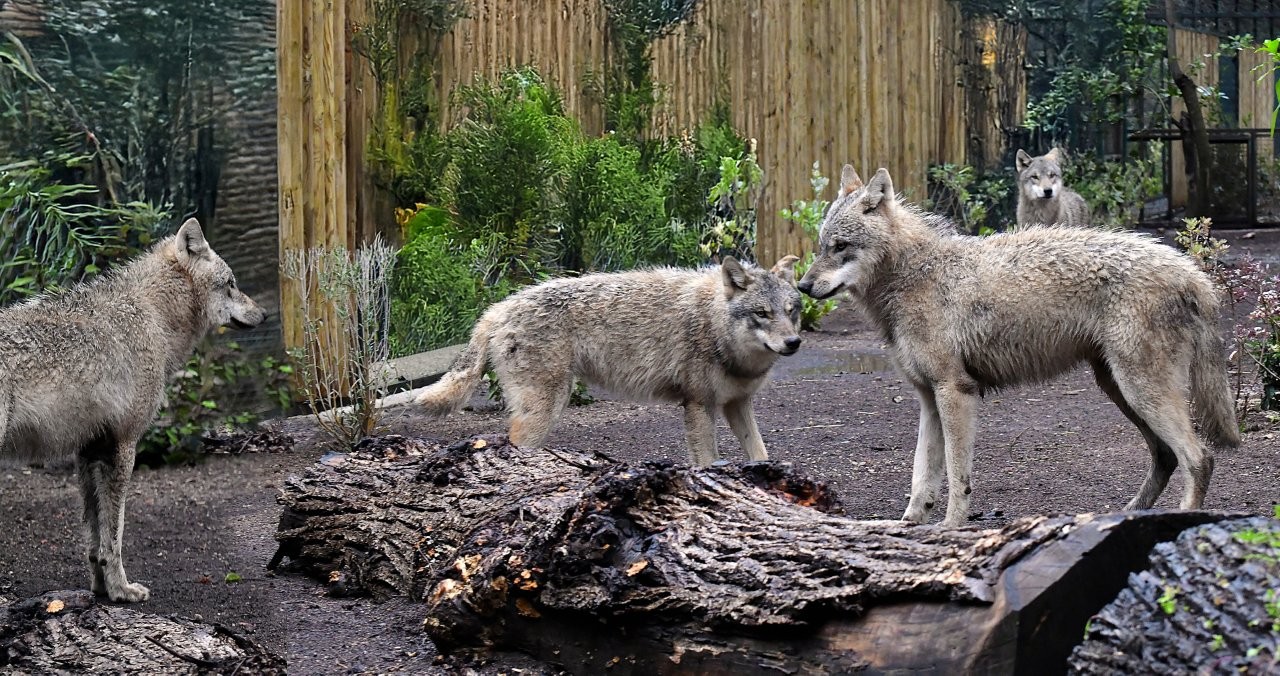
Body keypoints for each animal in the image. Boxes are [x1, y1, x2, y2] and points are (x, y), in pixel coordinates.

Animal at [0, 218, 265, 601]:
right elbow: (115, 535)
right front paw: (121, 590)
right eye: (231, 284)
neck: (152, 316)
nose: (265, 314)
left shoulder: (90, 451)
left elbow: (94, 540)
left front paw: (100, 589)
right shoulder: (123, 447)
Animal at [412, 256, 803, 465]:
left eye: (791, 312)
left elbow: (760, 453)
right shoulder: (698, 406)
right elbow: (706, 461)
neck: (714, 324)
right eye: (762, 314)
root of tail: (498, 308)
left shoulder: (738, 403)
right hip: (545, 411)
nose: (793, 343)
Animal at [798, 165, 1238, 527]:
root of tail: (1191, 271)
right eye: (820, 245)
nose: (802, 286)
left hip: (1140, 391)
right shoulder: (928, 398)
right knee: (1166, 456)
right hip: (1121, 391)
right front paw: (908, 524)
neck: (917, 274)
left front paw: (950, 527)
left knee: (1199, 457)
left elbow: (957, 475)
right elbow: (921, 475)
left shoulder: (955, 392)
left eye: (840, 246)